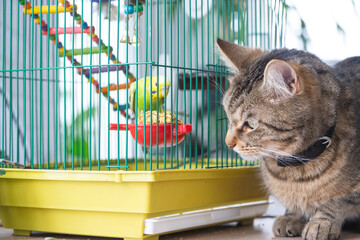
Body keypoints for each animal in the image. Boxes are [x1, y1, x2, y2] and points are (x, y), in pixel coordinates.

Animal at [217, 38, 360, 240]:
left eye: (251, 124)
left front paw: (321, 222)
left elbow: (336, 201)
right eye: (228, 118)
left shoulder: (352, 193)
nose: (228, 143)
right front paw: (292, 215)